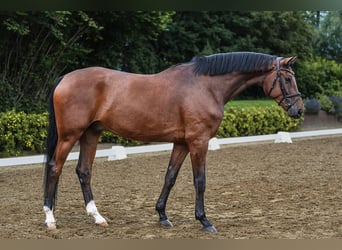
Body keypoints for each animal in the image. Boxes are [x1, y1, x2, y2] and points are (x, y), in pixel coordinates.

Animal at [42, 51, 302, 233]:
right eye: (287, 78)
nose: (299, 109)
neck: (206, 86)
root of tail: (65, 77)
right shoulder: (199, 142)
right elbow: (200, 181)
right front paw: (204, 220)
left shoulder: (182, 143)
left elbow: (170, 177)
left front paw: (162, 216)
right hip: (70, 135)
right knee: (55, 168)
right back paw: (50, 219)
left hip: (91, 134)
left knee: (84, 171)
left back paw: (98, 217)